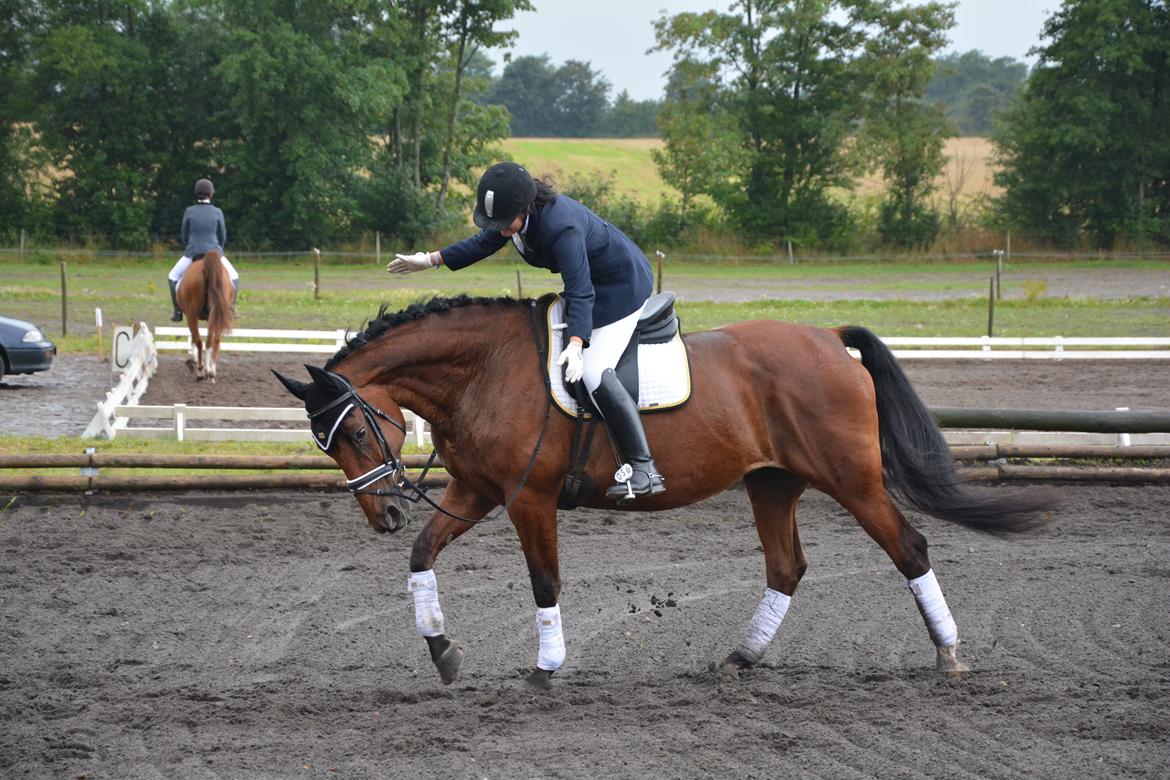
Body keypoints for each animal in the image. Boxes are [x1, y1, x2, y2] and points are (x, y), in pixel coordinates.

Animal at [176, 250, 233, 383]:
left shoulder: (190, 316)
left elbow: (193, 339)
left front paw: (193, 362)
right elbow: (210, 340)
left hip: (192, 315)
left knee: (199, 341)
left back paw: (201, 371)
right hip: (216, 314)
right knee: (214, 341)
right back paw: (211, 372)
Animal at [271, 294, 1053, 687]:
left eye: (356, 431)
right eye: (328, 443)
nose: (383, 512)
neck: (483, 369)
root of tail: (829, 339)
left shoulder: (528, 499)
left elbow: (544, 581)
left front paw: (547, 668)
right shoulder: (476, 492)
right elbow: (422, 558)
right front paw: (442, 651)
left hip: (852, 480)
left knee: (909, 547)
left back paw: (949, 655)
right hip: (772, 483)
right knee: (786, 567)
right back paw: (741, 659)